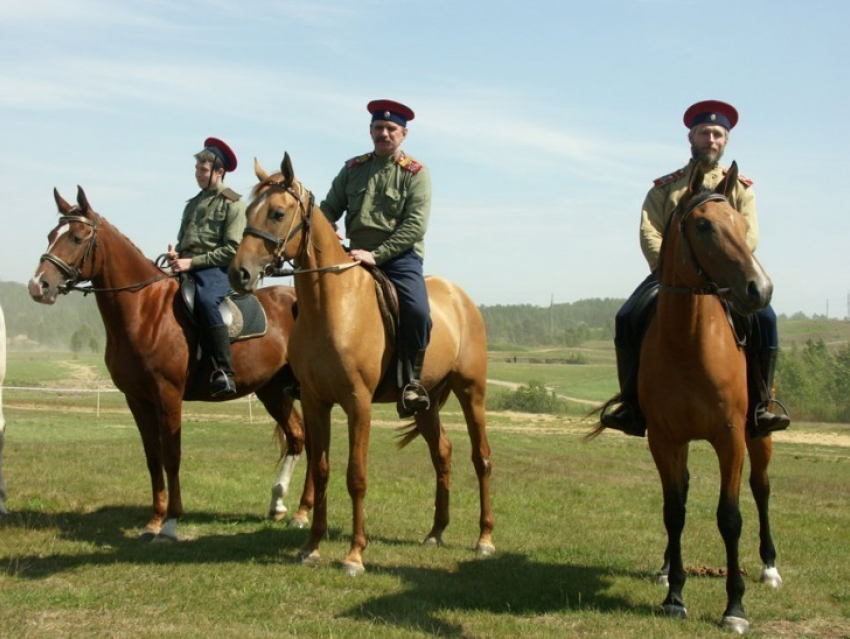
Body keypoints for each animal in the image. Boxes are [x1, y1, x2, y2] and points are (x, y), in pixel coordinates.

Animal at [30, 188, 314, 544]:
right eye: (50, 235)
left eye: (77, 237)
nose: (38, 286)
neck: (145, 310)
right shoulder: (137, 399)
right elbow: (153, 457)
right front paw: (154, 520)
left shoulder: (168, 394)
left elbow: (172, 455)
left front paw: (170, 523)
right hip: (272, 390)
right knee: (297, 436)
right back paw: (279, 505)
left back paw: (303, 512)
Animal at [229, 154, 494, 576]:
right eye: (249, 211)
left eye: (277, 213)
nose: (238, 273)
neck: (334, 305)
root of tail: (461, 298)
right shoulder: (316, 402)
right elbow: (321, 470)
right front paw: (311, 546)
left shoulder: (358, 404)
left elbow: (356, 476)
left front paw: (355, 554)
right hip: (426, 405)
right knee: (443, 453)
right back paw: (436, 531)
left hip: (472, 393)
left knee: (480, 457)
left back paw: (484, 538)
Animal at [592, 161, 780, 636]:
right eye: (704, 226)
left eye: (740, 224)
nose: (760, 289)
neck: (690, 343)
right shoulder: (665, 439)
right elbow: (673, 510)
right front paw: (675, 595)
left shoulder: (731, 438)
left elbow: (730, 517)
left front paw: (735, 607)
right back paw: (664, 568)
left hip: (760, 435)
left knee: (762, 488)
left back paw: (770, 567)